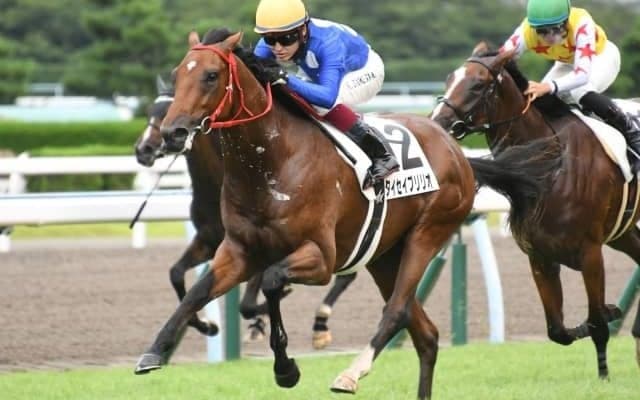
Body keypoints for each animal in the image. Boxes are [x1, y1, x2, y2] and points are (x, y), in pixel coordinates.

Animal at [134, 65, 357, 349]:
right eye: (151, 111)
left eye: (166, 110)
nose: (143, 149)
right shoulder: (210, 240)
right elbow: (176, 274)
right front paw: (205, 325)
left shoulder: (262, 249)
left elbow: (248, 304)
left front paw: (267, 310)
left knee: (347, 272)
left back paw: (320, 324)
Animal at [431, 42, 640, 379]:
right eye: (450, 78)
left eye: (478, 84)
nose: (437, 122)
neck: (552, 164)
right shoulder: (539, 256)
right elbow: (558, 331)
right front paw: (611, 311)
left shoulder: (590, 253)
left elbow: (597, 323)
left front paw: (604, 374)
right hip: (622, 232)